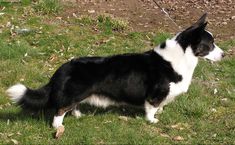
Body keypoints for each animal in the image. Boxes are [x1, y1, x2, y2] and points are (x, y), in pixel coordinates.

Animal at [6, 13, 224, 129]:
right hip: (74, 93)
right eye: (210, 44)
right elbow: (151, 108)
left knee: (71, 106)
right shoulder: (154, 94)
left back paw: (78, 115)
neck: (182, 55)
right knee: (60, 110)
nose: (224, 55)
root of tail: (62, 69)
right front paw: (152, 120)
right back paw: (58, 126)